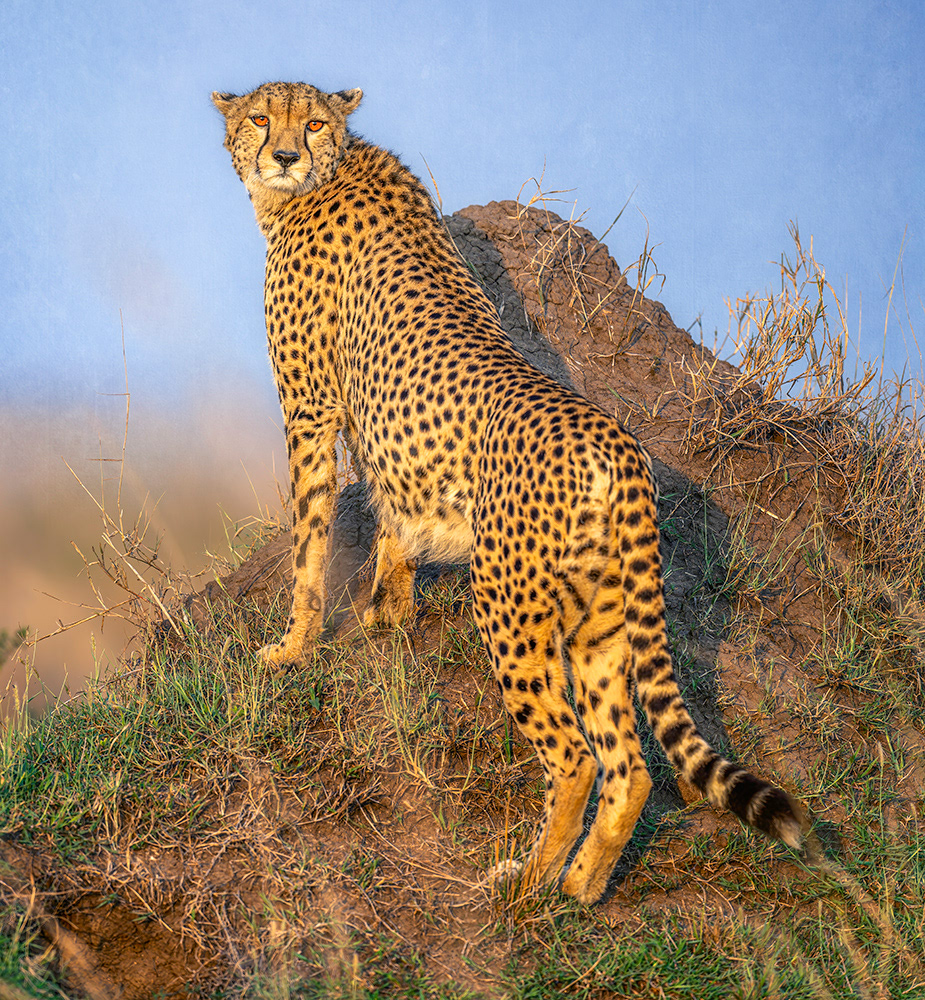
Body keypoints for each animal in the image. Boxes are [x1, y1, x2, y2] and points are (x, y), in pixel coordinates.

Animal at [212, 81, 803, 903]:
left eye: (315, 123)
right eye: (261, 119)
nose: (286, 155)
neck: (325, 179)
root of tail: (617, 445)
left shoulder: (310, 408)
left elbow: (308, 543)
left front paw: (293, 648)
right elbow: (391, 513)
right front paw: (386, 609)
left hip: (509, 601)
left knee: (576, 758)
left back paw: (524, 885)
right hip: (599, 622)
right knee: (627, 764)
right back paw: (575, 887)